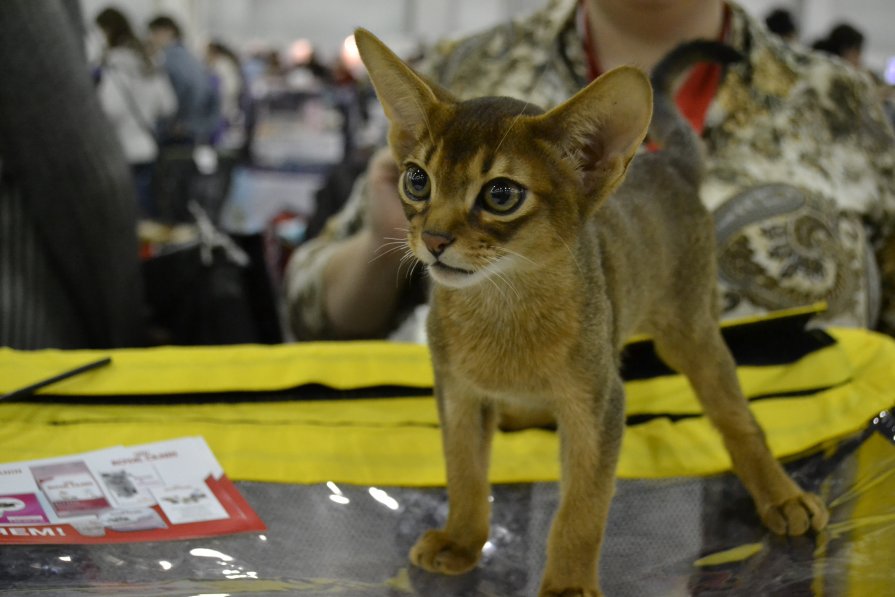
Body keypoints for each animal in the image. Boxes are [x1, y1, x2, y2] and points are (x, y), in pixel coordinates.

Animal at [354, 29, 828, 596]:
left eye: (501, 194)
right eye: (417, 181)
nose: (434, 238)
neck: (501, 309)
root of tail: (667, 164)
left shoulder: (598, 405)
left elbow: (582, 506)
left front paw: (568, 583)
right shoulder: (458, 394)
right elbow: (464, 472)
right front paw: (463, 541)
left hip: (692, 333)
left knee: (740, 420)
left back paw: (781, 494)